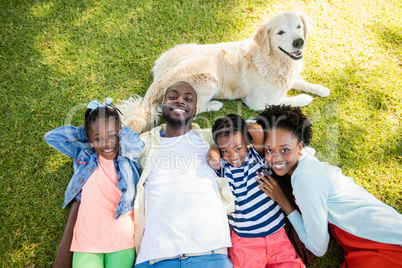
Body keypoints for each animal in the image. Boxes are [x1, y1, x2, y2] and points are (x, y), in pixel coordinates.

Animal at [118, 11, 330, 133]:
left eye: (298, 27)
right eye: (280, 32)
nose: (299, 42)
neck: (273, 61)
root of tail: (159, 81)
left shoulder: (287, 77)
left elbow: (301, 81)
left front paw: (321, 89)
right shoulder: (257, 102)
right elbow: (287, 101)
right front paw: (305, 98)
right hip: (209, 80)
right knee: (193, 109)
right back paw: (214, 104)